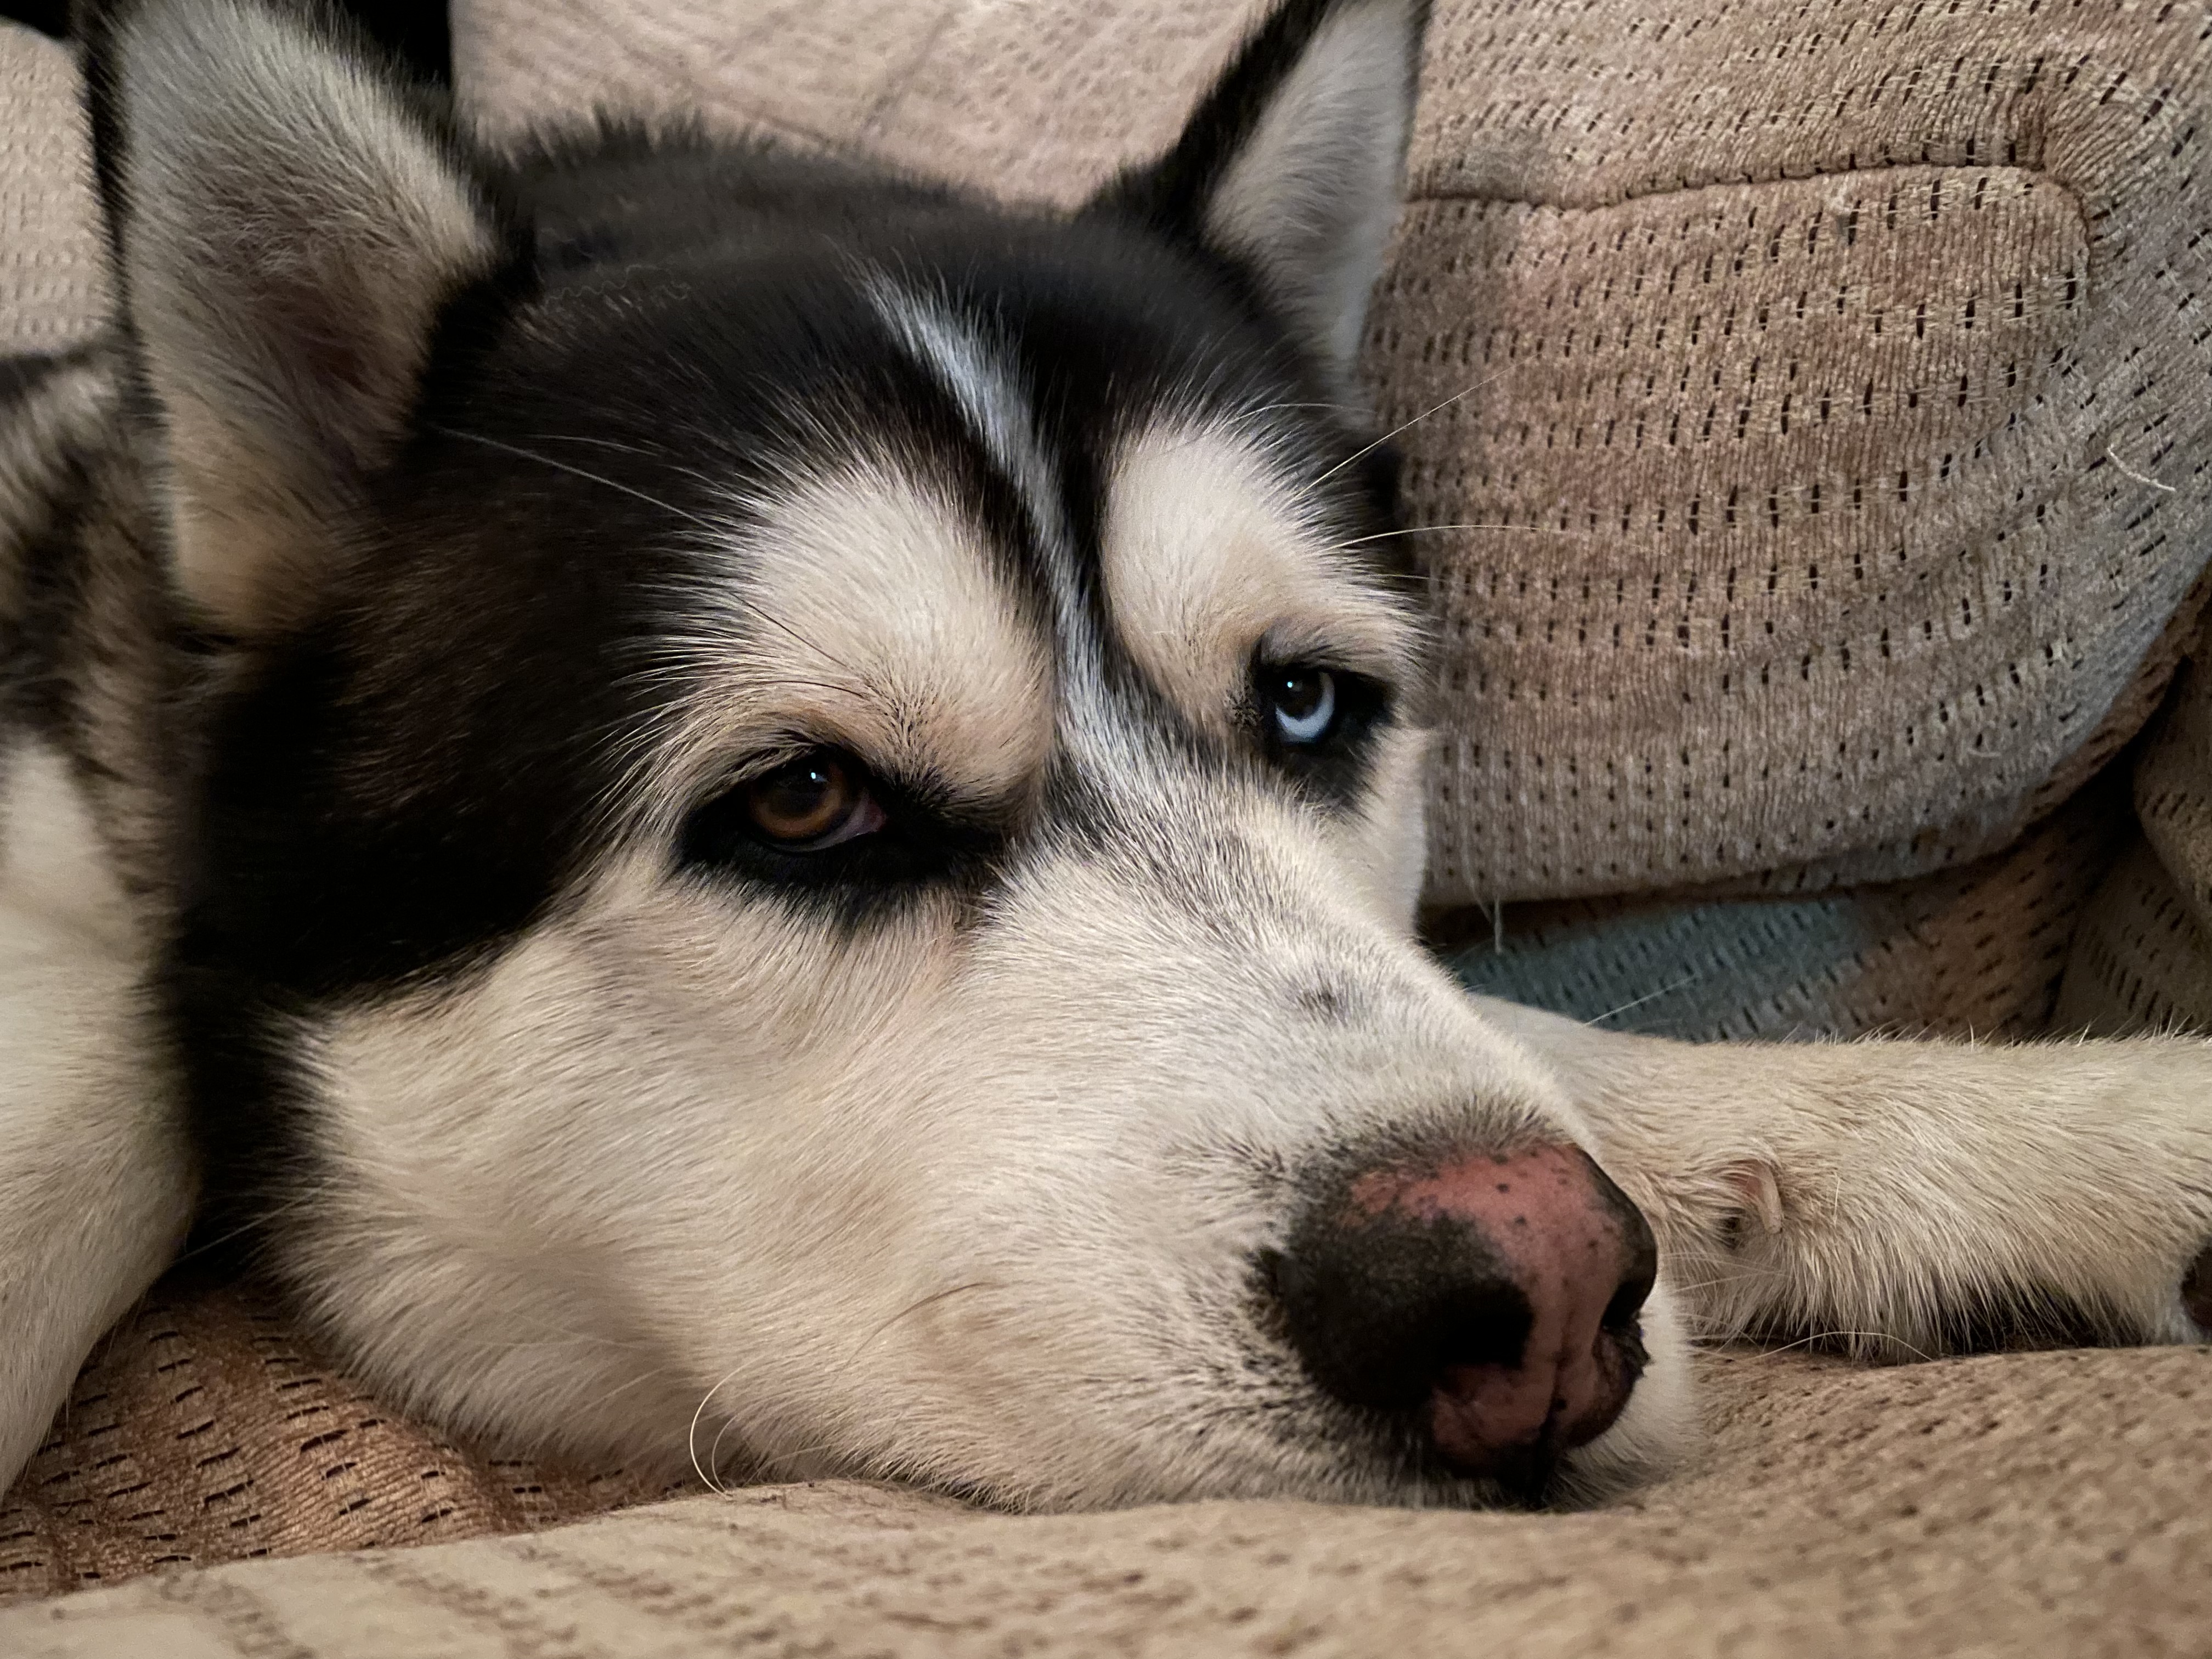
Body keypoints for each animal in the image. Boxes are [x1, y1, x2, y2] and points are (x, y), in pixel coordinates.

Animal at [4, 0, 2212, 1522]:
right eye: (803, 801)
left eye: (1307, 704)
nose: (1535, 1297)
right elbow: (113, 1082)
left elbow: (1543, 1045)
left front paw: (2068, 1139)